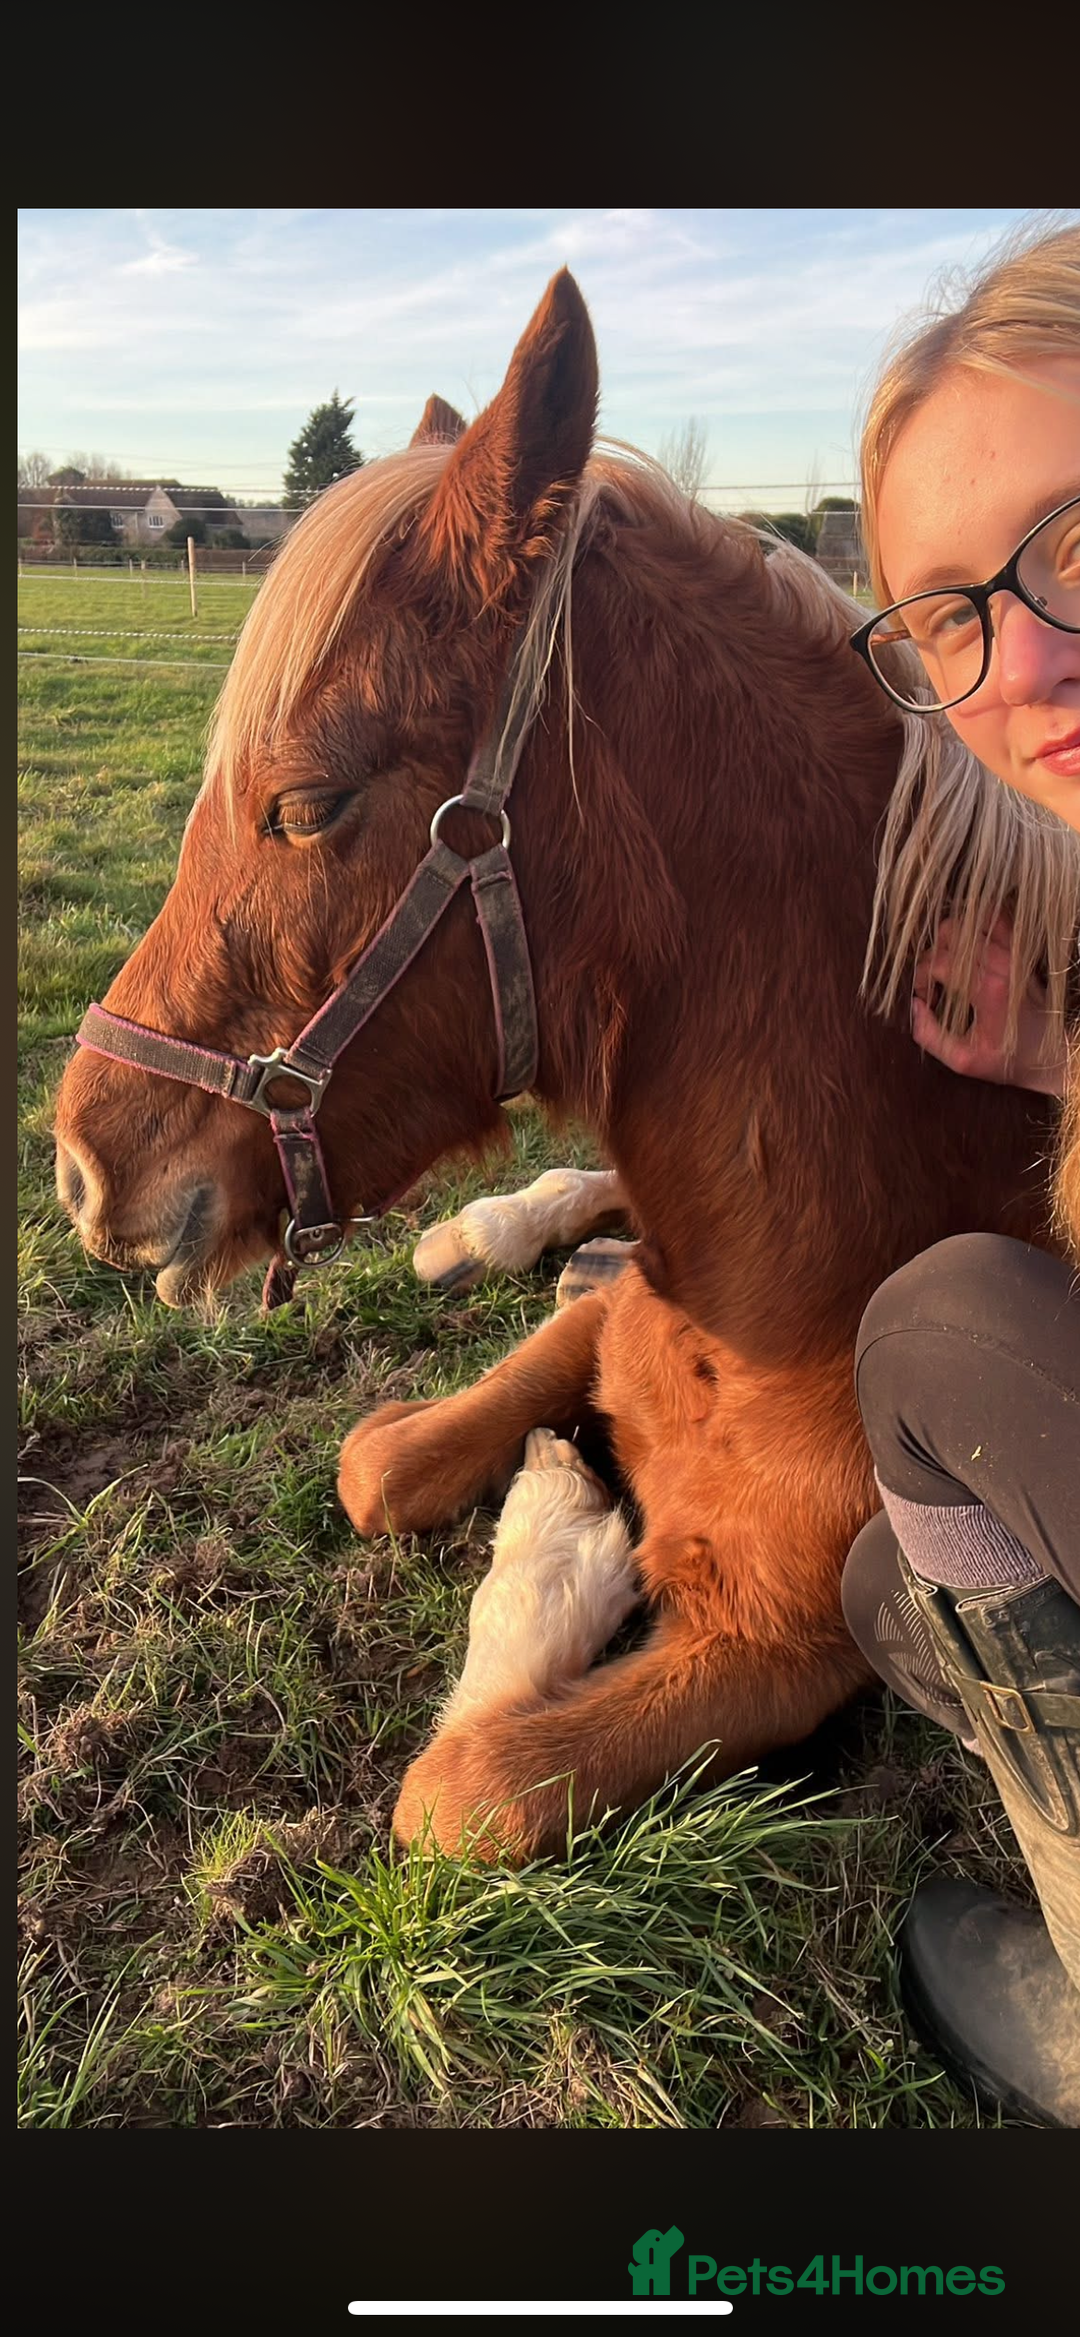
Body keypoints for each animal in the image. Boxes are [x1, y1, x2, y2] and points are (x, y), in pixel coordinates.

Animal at [54, 270, 1077, 1863]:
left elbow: (458, 1797)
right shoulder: (611, 1323)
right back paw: (484, 1229)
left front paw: (557, 1543)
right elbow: (379, 1464)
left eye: (306, 803)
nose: (85, 1165)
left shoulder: (774, 1650)